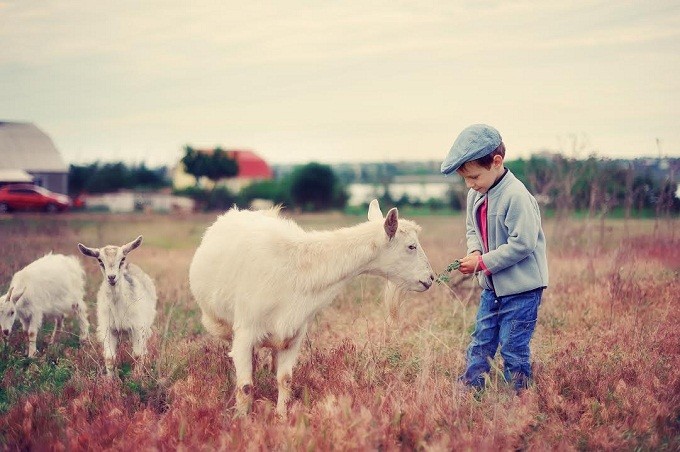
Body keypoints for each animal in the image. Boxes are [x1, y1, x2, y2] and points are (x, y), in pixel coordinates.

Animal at [77, 235, 157, 376]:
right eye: (100, 260)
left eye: (122, 259)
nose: (111, 277)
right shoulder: (108, 329)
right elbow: (110, 358)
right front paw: (111, 379)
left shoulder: (137, 327)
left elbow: (137, 355)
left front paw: (137, 377)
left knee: (143, 350)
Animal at [190, 200, 436, 414]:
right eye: (411, 246)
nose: (431, 278)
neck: (298, 268)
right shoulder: (245, 332)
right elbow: (245, 386)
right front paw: (242, 422)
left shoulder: (295, 334)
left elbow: (285, 379)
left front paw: (281, 417)